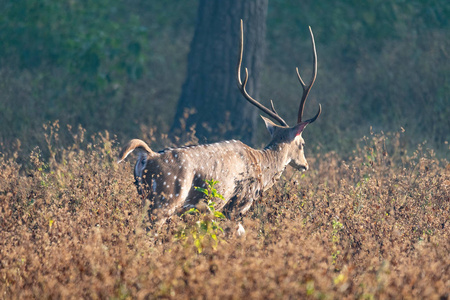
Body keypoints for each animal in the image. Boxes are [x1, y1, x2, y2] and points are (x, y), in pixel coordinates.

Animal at [118, 20, 322, 223]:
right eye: (303, 143)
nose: (305, 165)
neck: (262, 168)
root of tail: (148, 156)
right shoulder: (240, 201)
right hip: (166, 198)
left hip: (145, 197)